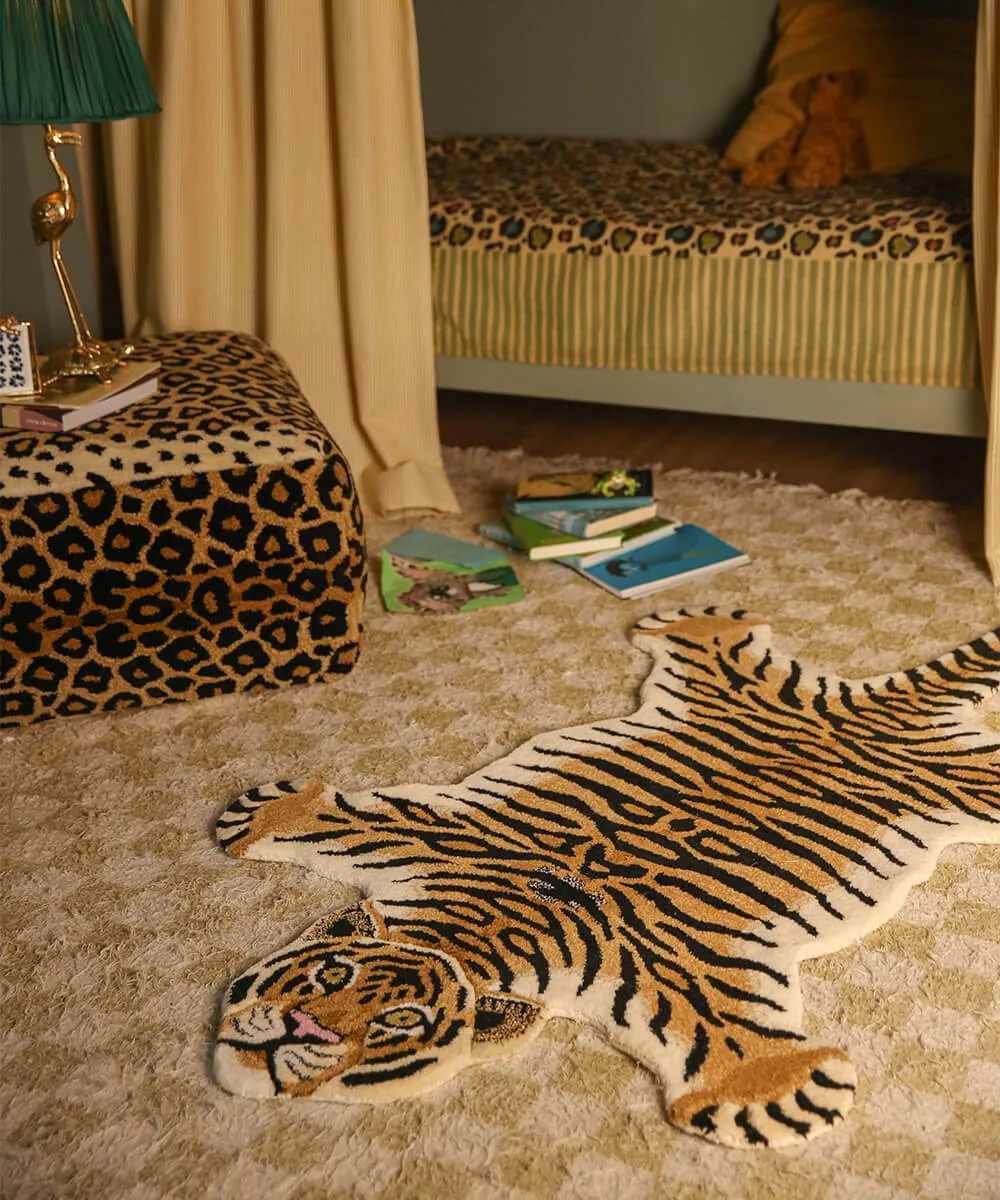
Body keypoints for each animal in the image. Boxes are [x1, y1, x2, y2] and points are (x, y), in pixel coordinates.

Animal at [214, 607, 1000, 1148]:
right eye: (330, 975)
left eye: (399, 1023)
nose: (301, 1030)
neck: (481, 925)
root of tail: (871, 709)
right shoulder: (435, 837)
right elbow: (338, 816)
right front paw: (265, 816)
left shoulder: (669, 964)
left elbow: (728, 1028)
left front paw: (776, 1092)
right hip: (730, 690)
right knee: (721, 650)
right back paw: (694, 621)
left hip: (967, 783)